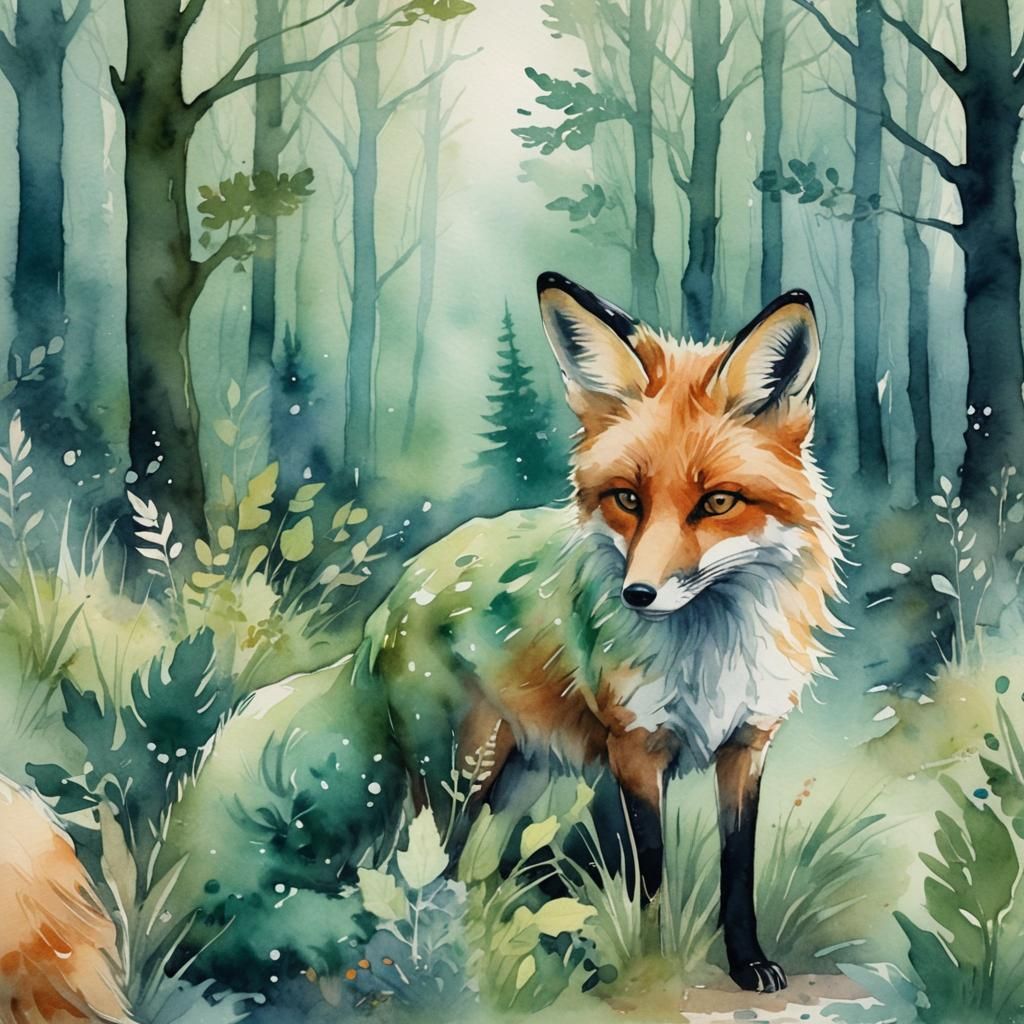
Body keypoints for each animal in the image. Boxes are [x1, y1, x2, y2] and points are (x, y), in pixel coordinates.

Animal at [356, 272, 843, 994]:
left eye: (718, 502)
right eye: (628, 499)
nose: (637, 595)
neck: (710, 658)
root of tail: (400, 586)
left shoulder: (747, 745)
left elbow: (737, 868)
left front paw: (748, 963)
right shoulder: (634, 749)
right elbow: (652, 876)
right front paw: (652, 971)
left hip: (517, 779)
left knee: (476, 869)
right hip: (457, 777)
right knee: (428, 869)